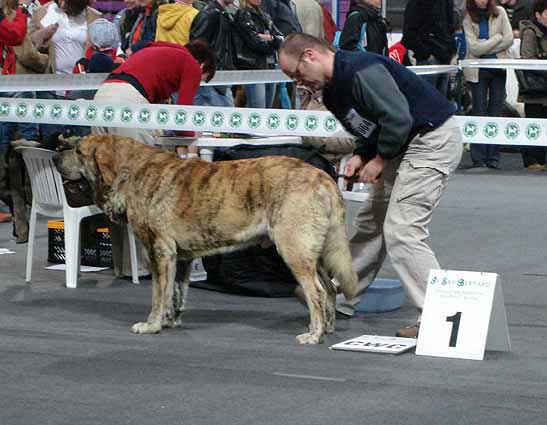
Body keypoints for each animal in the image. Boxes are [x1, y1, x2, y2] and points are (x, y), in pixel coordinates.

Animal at [53, 134, 358, 342]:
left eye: (78, 151)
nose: (55, 157)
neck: (129, 172)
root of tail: (323, 177)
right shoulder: (181, 258)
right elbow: (176, 293)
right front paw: (170, 321)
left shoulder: (159, 251)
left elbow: (158, 294)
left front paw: (151, 324)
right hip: (313, 253)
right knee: (330, 289)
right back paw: (327, 328)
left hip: (293, 249)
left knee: (316, 292)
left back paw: (314, 335)